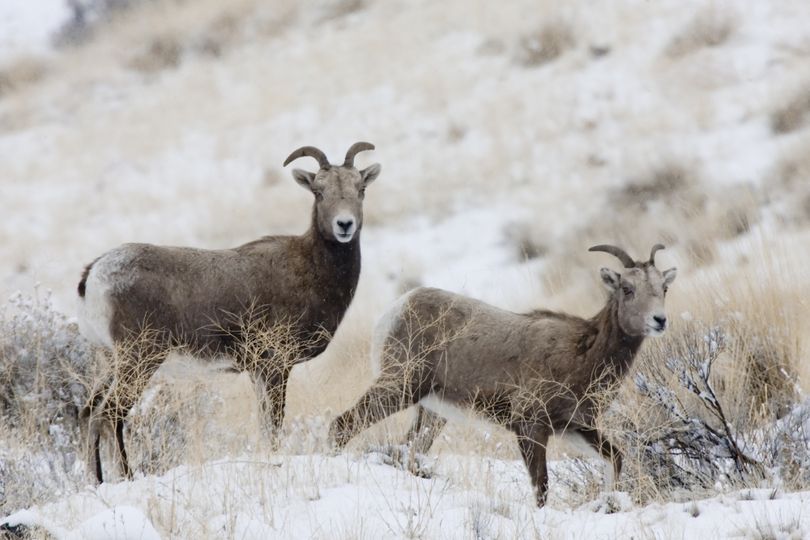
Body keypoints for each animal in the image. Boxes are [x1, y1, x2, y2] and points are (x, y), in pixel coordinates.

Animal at [77, 141, 380, 484]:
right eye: (319, 191)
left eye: (361, 189)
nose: (345, 225)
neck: (313, 271)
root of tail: (93, 275)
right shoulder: (275, 366)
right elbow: (274, 424)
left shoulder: (259, 372)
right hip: (139, 361)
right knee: (110, 414)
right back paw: (127, 477)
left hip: (110, 363)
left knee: (89, 413)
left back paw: (96, 481)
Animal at [328, 244, 676, 506]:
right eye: (628, 289)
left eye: (664, 288)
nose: (660, 320)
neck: (583, 353)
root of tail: (395, 310)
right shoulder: (530, 426)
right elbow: (541, 487)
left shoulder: (574, 427)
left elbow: (614, 459)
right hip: (399, 387)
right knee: (343, 425)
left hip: (431, 412)